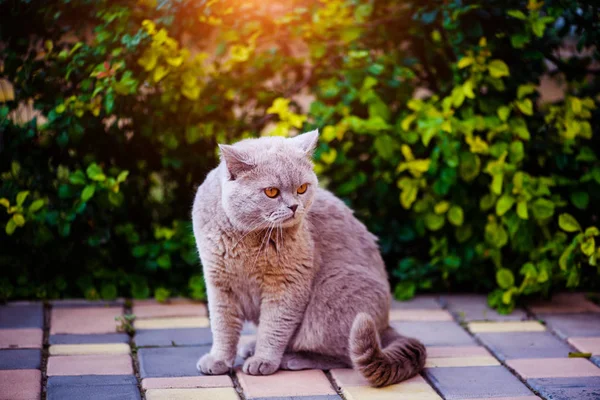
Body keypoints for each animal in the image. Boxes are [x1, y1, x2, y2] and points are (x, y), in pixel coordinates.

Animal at [192, 130, 426, 386]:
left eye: (302, 188)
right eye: (271, 192)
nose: (295, 206)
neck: (248, 239)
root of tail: (384, 325)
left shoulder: (287, 284)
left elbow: (274, 327)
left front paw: (263, 361)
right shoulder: (219, 283)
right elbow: (222, 326)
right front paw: (219, 360)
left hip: (334, 292)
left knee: (344, 355)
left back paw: (292, 359)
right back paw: (252, 347)